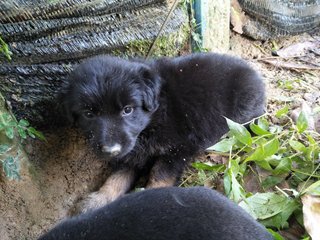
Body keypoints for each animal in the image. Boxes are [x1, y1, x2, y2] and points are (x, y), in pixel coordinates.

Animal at [63, 52, 264, 212]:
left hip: (242, 111)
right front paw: (99, 199)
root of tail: (255, 75)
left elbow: (160, 175)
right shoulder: (132, 153)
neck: (155, 118)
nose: (110, 150)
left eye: (127, 110)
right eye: (89, 114)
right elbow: (117, 177)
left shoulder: (178, 149)